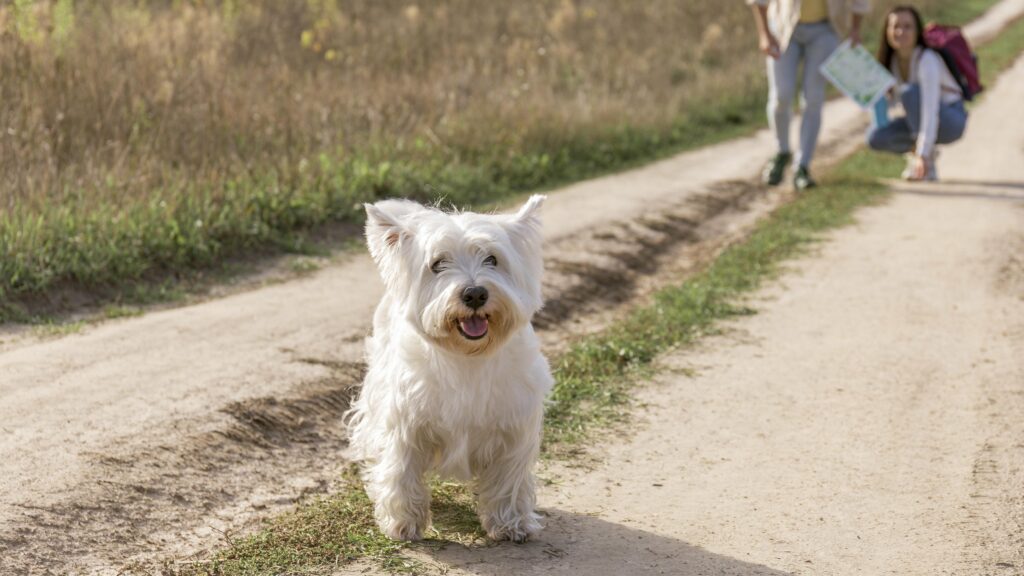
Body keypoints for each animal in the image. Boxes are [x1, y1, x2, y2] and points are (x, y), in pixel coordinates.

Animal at [344, 194, 552, 541]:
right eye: (438, 263)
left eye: (492, 259)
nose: (475, 293)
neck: (467, 358)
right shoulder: (405, 422)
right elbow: (401, 471)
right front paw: (403, 523)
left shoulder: (513, 426)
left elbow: (509, 478)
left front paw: (512, 523)